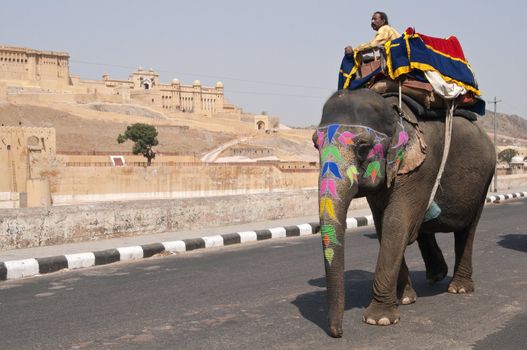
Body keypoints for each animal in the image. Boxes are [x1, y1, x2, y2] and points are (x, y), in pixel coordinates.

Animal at [316, 87, 498, 336]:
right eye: (315, 145)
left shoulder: (421, 167)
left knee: (467, 229)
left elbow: (395, 223)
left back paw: (459, 289)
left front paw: (379, 320)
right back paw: (437, 274)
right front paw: (404, 300)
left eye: (363, 147)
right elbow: (383, 225)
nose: (338, 333)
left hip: (485, 178)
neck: (393, 113)